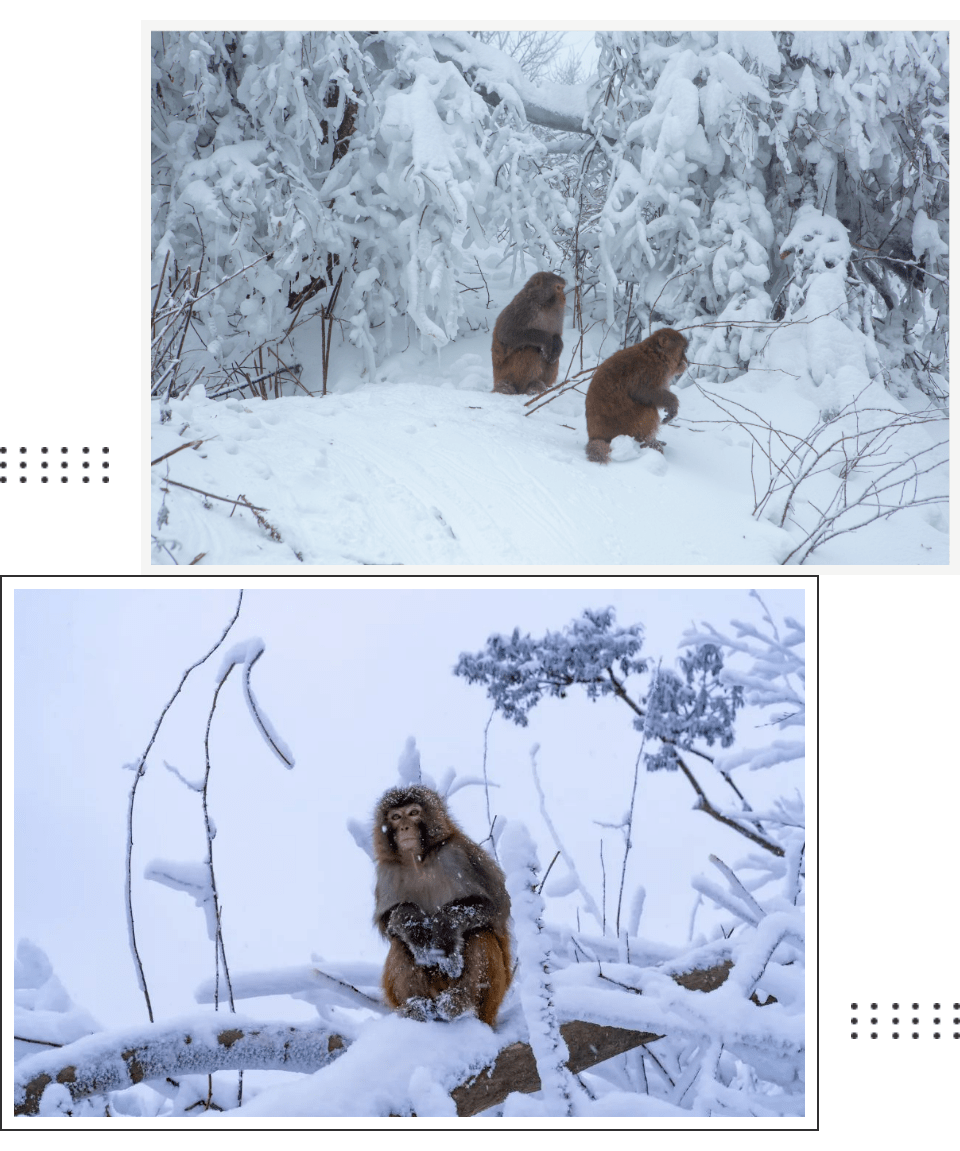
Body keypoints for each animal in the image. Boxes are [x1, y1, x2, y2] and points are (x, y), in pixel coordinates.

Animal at [372, 782, 513, 1026]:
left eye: (414, 813)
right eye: (396, 816)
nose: (405, 828)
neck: (418, 860)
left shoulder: (459, 855)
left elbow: (495, 906)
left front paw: (444, 928)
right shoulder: (386, 871)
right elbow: (389, 920)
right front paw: (414, 924)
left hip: (494, 998)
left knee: (480, 933)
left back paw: (458, 1003)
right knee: (400, 943)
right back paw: (418, 1007)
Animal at [580, 326, 686, 460]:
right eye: (682, 350)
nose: (686, 361)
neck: (656, 355)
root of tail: (595, 437)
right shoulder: (649, 371)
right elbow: (643, 392)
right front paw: (672, 404)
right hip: (625, 426)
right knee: (647, 409)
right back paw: (649, 443)